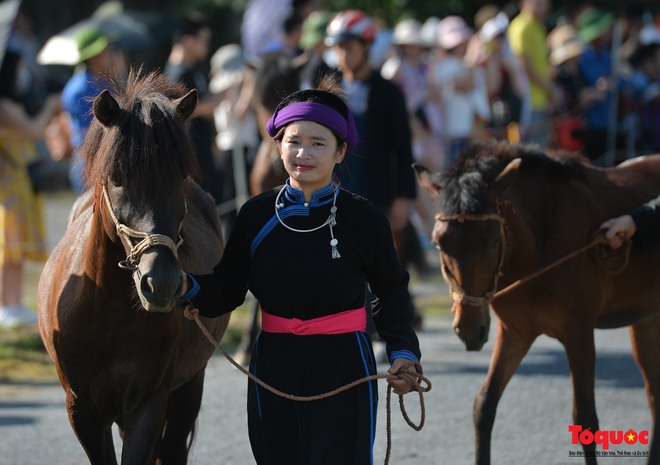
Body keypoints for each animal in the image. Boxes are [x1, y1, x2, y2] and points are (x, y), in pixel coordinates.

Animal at [38, 70, 231, 464]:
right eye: (118, 176)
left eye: (179, 176)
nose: (162, 283)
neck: (107, 313)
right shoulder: (82, 410)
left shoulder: (148, 404)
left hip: (190, 385)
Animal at [416, 140, 660, 462]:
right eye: (438, 244)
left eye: (493, 241)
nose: (468, 329)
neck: (541, 246)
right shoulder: (515, 332)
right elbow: (484, 405)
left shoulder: (579, 334)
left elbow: (585, 419)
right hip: (646, 320)